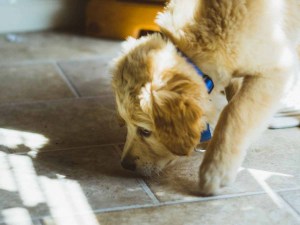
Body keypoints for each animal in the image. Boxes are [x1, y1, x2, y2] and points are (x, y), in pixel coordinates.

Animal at [110, 0, 300, 195]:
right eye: (126, 124)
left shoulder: (276, 68)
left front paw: (216, 168)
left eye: (145, 131)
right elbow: (235, 98)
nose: (125, 165)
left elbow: (235, 111)